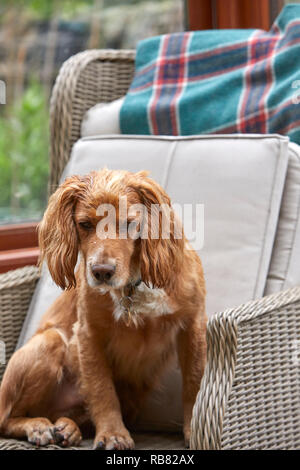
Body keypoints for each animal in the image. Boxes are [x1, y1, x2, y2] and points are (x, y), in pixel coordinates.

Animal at [0, 170, 206, 452]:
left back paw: (67, 429)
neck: (133, 285)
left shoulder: (193, 325)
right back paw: (39, 427)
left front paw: (193, 430)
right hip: (49, 342)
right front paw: (113, 434)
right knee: (8, 419)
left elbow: (194, 383)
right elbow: (101, 389)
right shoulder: (89, 334)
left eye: (129, 223)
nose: (101, 272)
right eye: (85, 224)